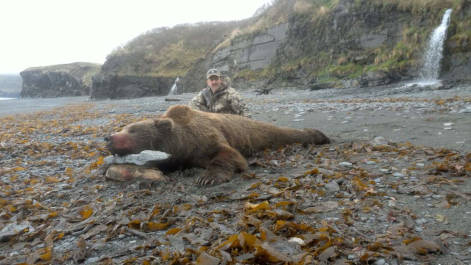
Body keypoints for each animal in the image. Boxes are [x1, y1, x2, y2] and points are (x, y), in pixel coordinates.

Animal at [105, 104, 330, 185]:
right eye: (124, 128)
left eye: (132, 130)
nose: (108, 138)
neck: (180, 142)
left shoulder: (205, 139)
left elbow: (230, 156)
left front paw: (208, 178)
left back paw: (319, 135)